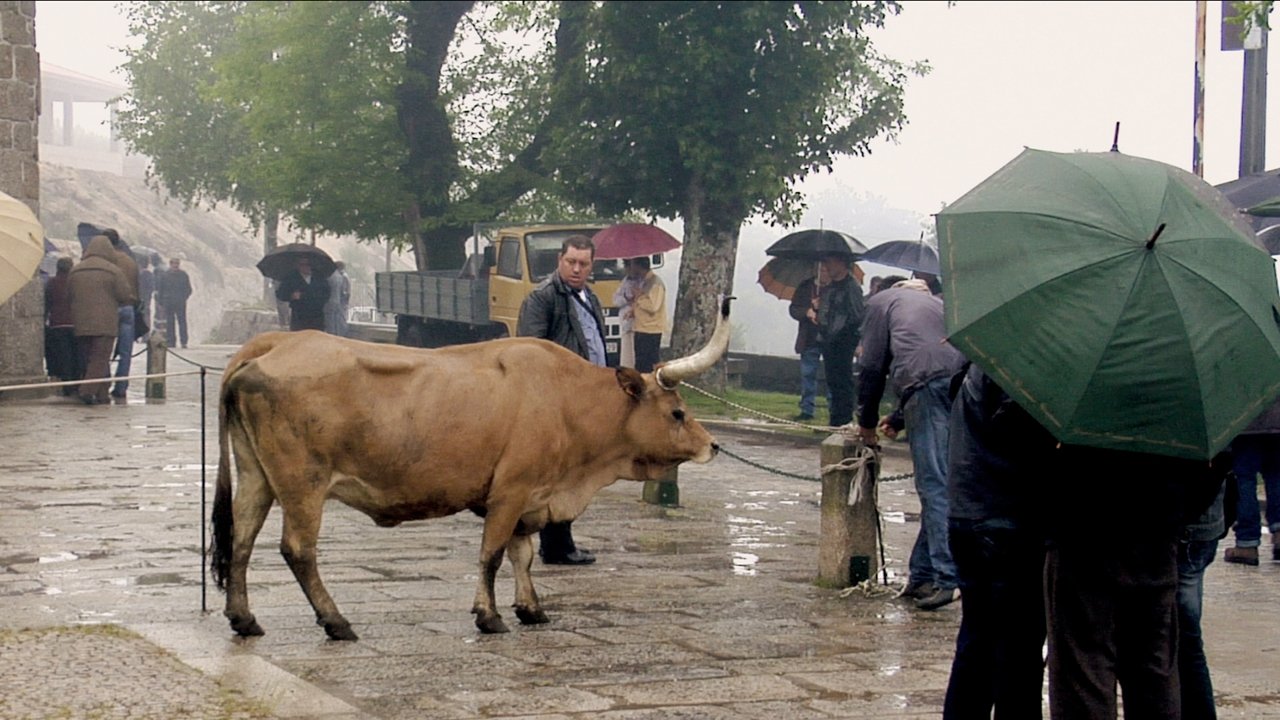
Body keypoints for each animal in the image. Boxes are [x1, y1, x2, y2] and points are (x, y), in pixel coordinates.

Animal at [209, 299, 732, 635]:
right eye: (677, 413)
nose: (713, 445)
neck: (566, 399)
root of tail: (274, 343)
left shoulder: (529, 497)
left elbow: (522, 555)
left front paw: (530, 609)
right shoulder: (509, 493)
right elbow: (492, 555)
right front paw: (490, 615)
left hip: (256, 475)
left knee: (240, 540)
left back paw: (244, 619)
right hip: (303, 483)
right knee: (297, 550)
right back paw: (335, 622)